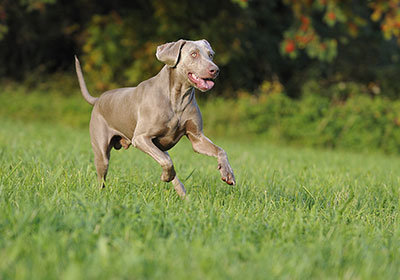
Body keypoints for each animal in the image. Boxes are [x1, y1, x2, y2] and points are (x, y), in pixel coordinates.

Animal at [76, 39, 234, 197]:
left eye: (211, 54)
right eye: (193, 54)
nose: (215, 70)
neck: (178, 98)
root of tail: (98, 99)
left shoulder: (197, 138)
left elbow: (221, 150)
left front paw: (228, 173)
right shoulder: (141, 138)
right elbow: (167, 162)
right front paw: (165, 176)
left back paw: (183, 195)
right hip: (102, 153)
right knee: (102, 177)